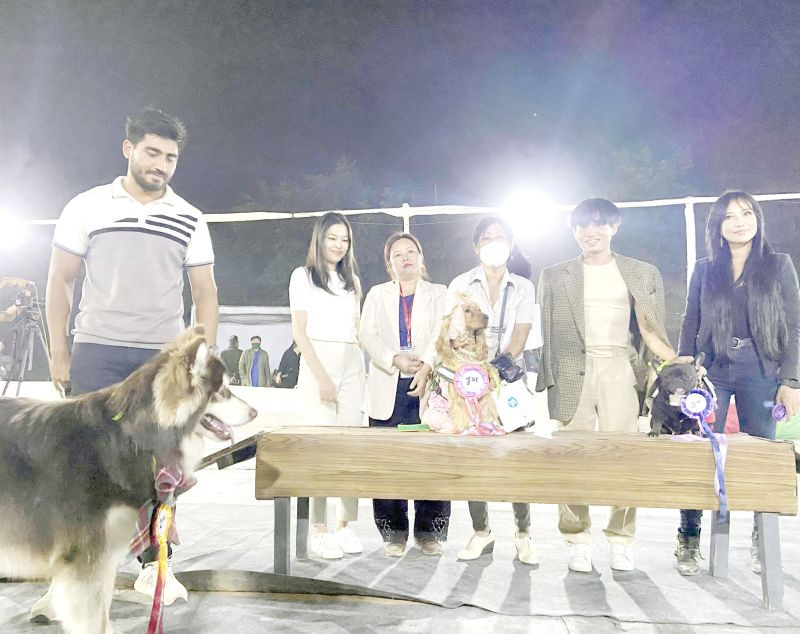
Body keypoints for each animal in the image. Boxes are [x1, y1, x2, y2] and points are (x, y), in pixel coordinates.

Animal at [0, 326, 256, 632]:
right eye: (223, 391)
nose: (255, 412)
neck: (131, 439)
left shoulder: (103, 556)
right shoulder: (87, 558)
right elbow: (94, 619)